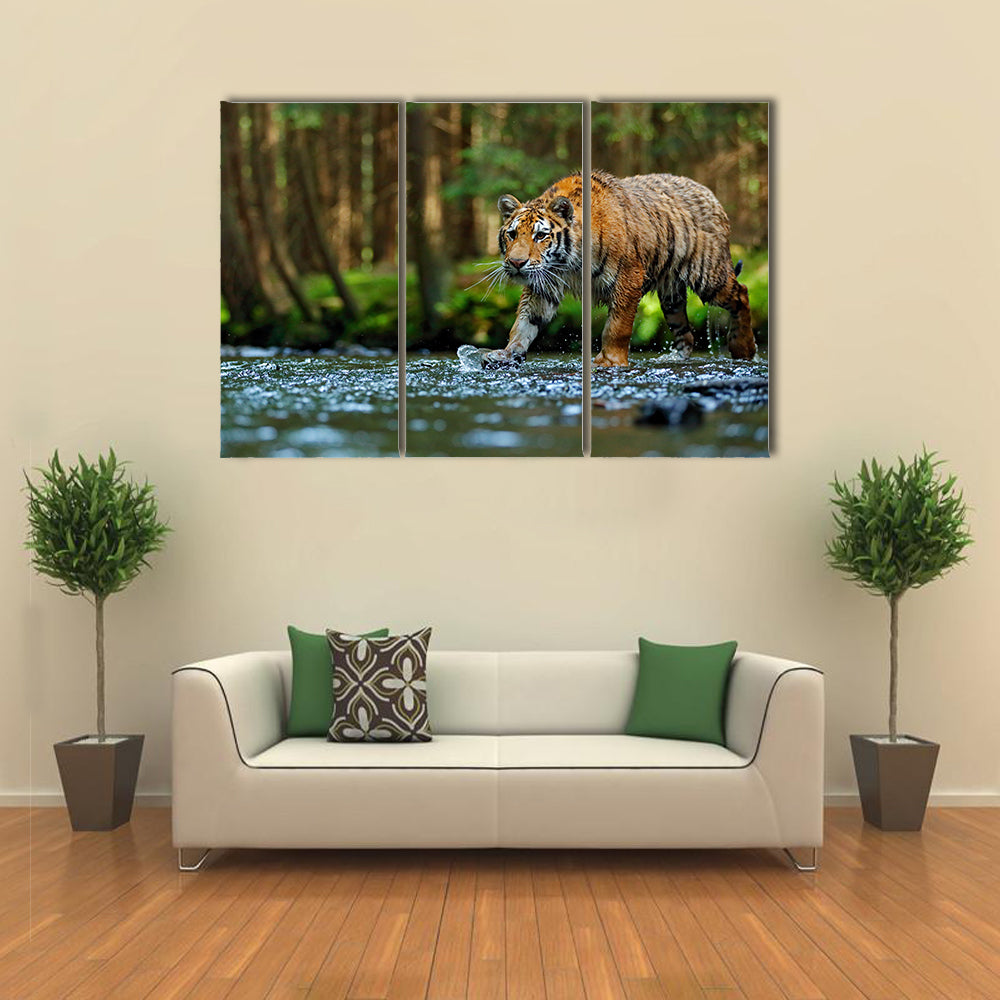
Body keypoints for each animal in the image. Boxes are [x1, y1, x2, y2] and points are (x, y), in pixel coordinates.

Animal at [488, 170, 756, 367]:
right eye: (512, 234)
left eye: (541, 236)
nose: (516, 263)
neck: (567, 264)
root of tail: (710, 193)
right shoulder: (544, 283)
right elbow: (524, 323)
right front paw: (507, 353)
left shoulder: (628, 277)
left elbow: (617, 327)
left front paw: (610, 361)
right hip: (671, 297)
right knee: (686, 333)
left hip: (709, 275)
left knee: (741, 292)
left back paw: (743, 348)